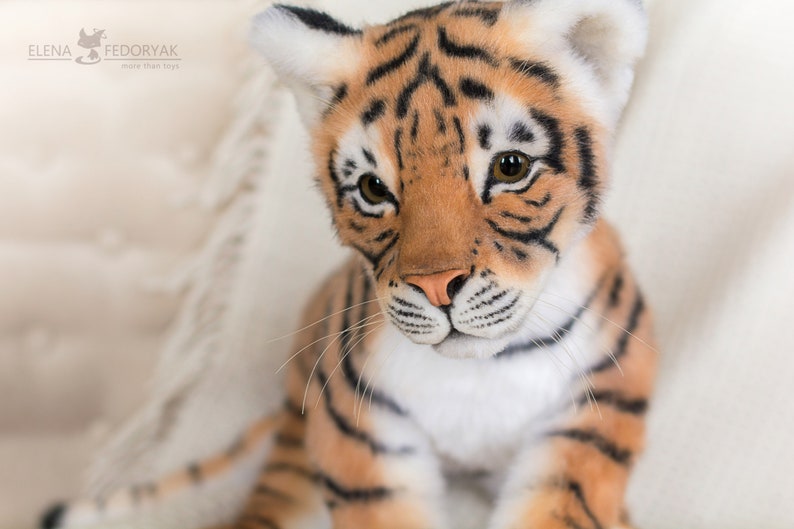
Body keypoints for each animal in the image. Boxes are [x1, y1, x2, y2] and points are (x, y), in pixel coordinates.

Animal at [41, 1, 657, 528]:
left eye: (510, 167)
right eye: (372, 189)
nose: (438, 287)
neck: (477, 370)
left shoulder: (600, 404)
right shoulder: (356, 428)